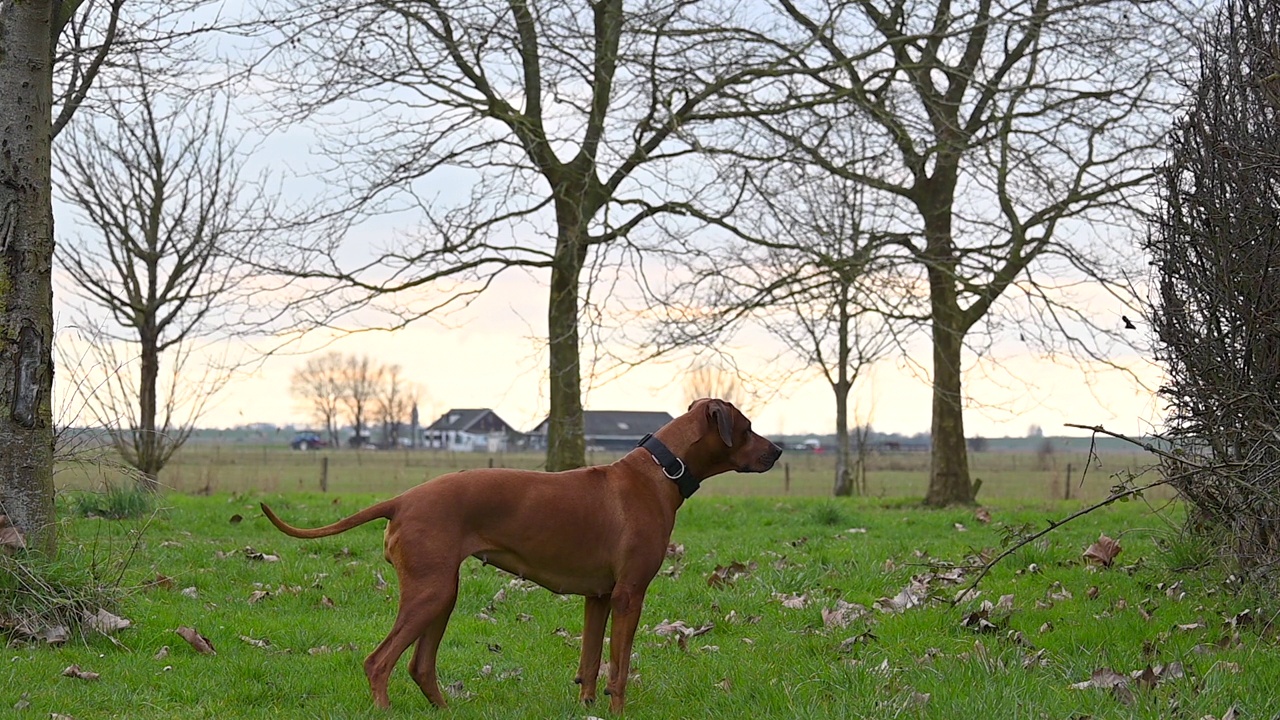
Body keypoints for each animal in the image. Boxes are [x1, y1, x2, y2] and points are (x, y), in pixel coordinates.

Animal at [259, 397, 778, 712]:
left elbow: (590, 662)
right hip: (431, 591)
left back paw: (446, 710)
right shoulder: (630, 595)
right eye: (748, 427)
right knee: (379, 661)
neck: (660, 472)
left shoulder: (599, 597)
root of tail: (402, 499)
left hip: (442, 593)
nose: (776, 451)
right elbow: (620, 667)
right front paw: (617, 708)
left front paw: (587, 707)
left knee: (419, 665)